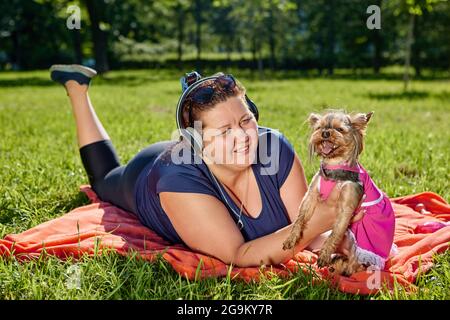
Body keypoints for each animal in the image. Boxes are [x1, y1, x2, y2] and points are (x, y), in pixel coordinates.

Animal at [284, 109, 396, 276]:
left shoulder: (347, 206)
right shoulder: (311, 196)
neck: (334, 166)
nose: (325, 133)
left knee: (356, 264)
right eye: (320, 127)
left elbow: (335, 232)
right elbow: (300, 217)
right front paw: (292, 237)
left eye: (339, 129)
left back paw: (343, 268)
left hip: (362, 244)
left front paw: (324, 254)